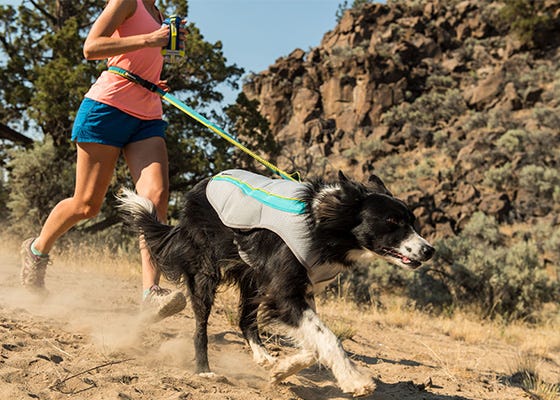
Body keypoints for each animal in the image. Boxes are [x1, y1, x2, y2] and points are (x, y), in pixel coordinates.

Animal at [117, 169, 434, 396]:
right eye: (392, 221)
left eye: (412, 222)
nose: (429, 250)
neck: (322, 224)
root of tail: (199, 188)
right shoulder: (284, 292)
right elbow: (328, 337)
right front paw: (353, 379)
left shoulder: (303, 290)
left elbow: (314, 341)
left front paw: (282, 369)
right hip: (207, 271)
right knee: (201, 326)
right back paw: (204, 369)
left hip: (252, 276)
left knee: (245, 320)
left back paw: (264, 357)